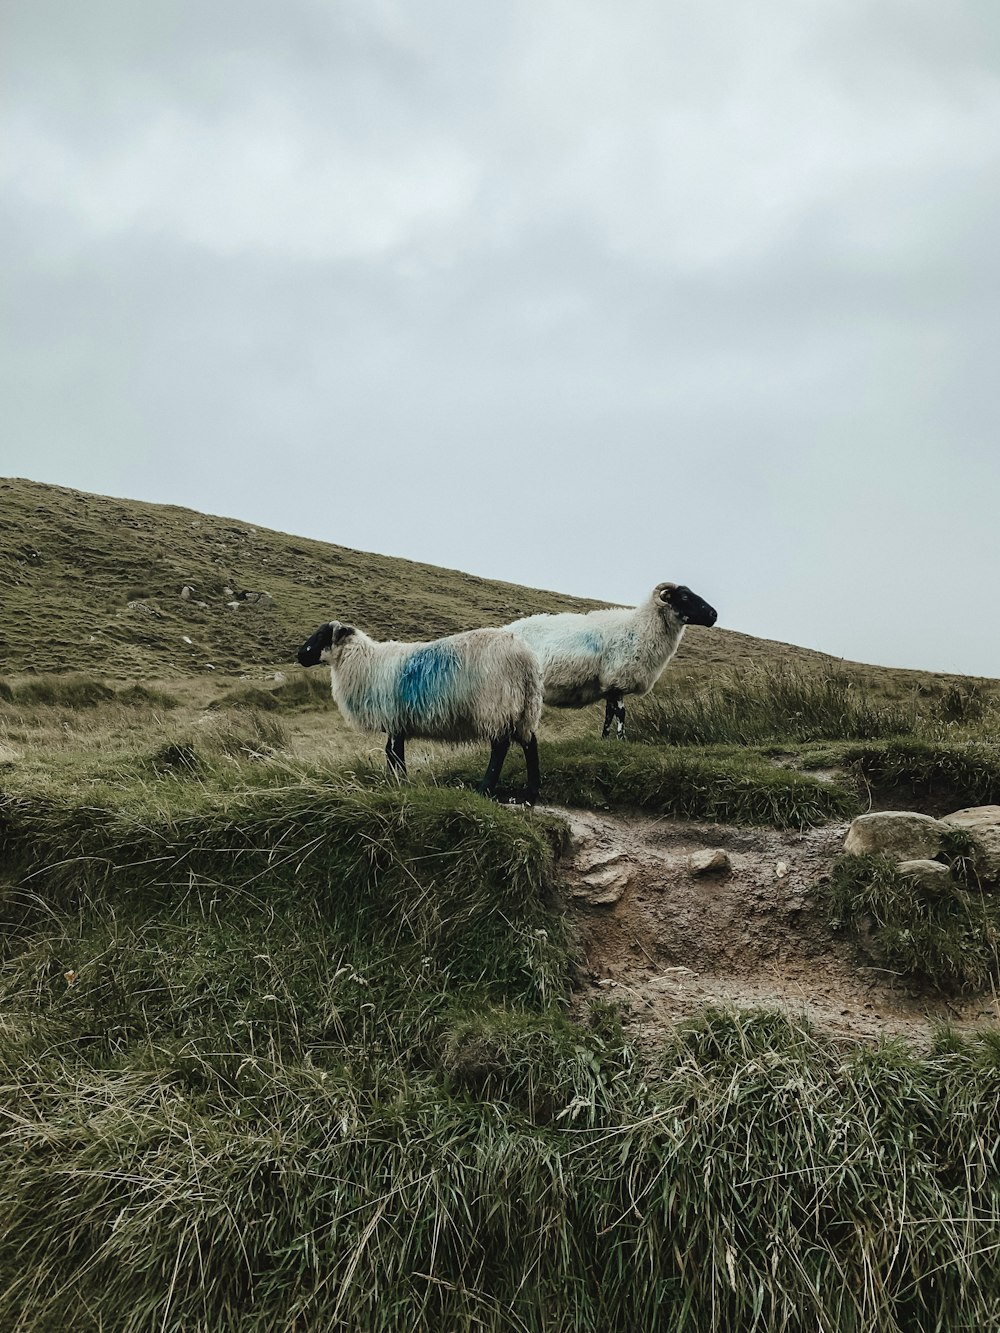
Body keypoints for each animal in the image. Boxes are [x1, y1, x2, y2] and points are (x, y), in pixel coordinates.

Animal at [297, 615, 549, 799]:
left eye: (322, 635)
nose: (299, 655)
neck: (364, 662)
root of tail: (526, 658)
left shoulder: (393, 717)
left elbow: (394, 753)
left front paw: (399, 782)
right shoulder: (397, 721)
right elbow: (392, 752)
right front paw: (395, 780)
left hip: (496, 705)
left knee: (500, 747)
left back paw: (484, 788)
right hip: (526, 707)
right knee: (530, 743)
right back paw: (531, 791)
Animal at [504, 581, 714, 741]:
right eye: (684, 597)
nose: (714, 615)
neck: (641, 628)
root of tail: (505, 630)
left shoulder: (610, 686)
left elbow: (608, 715)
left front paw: (605, 740)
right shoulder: (618, 680)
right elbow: (621, 713)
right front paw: (622, 739)